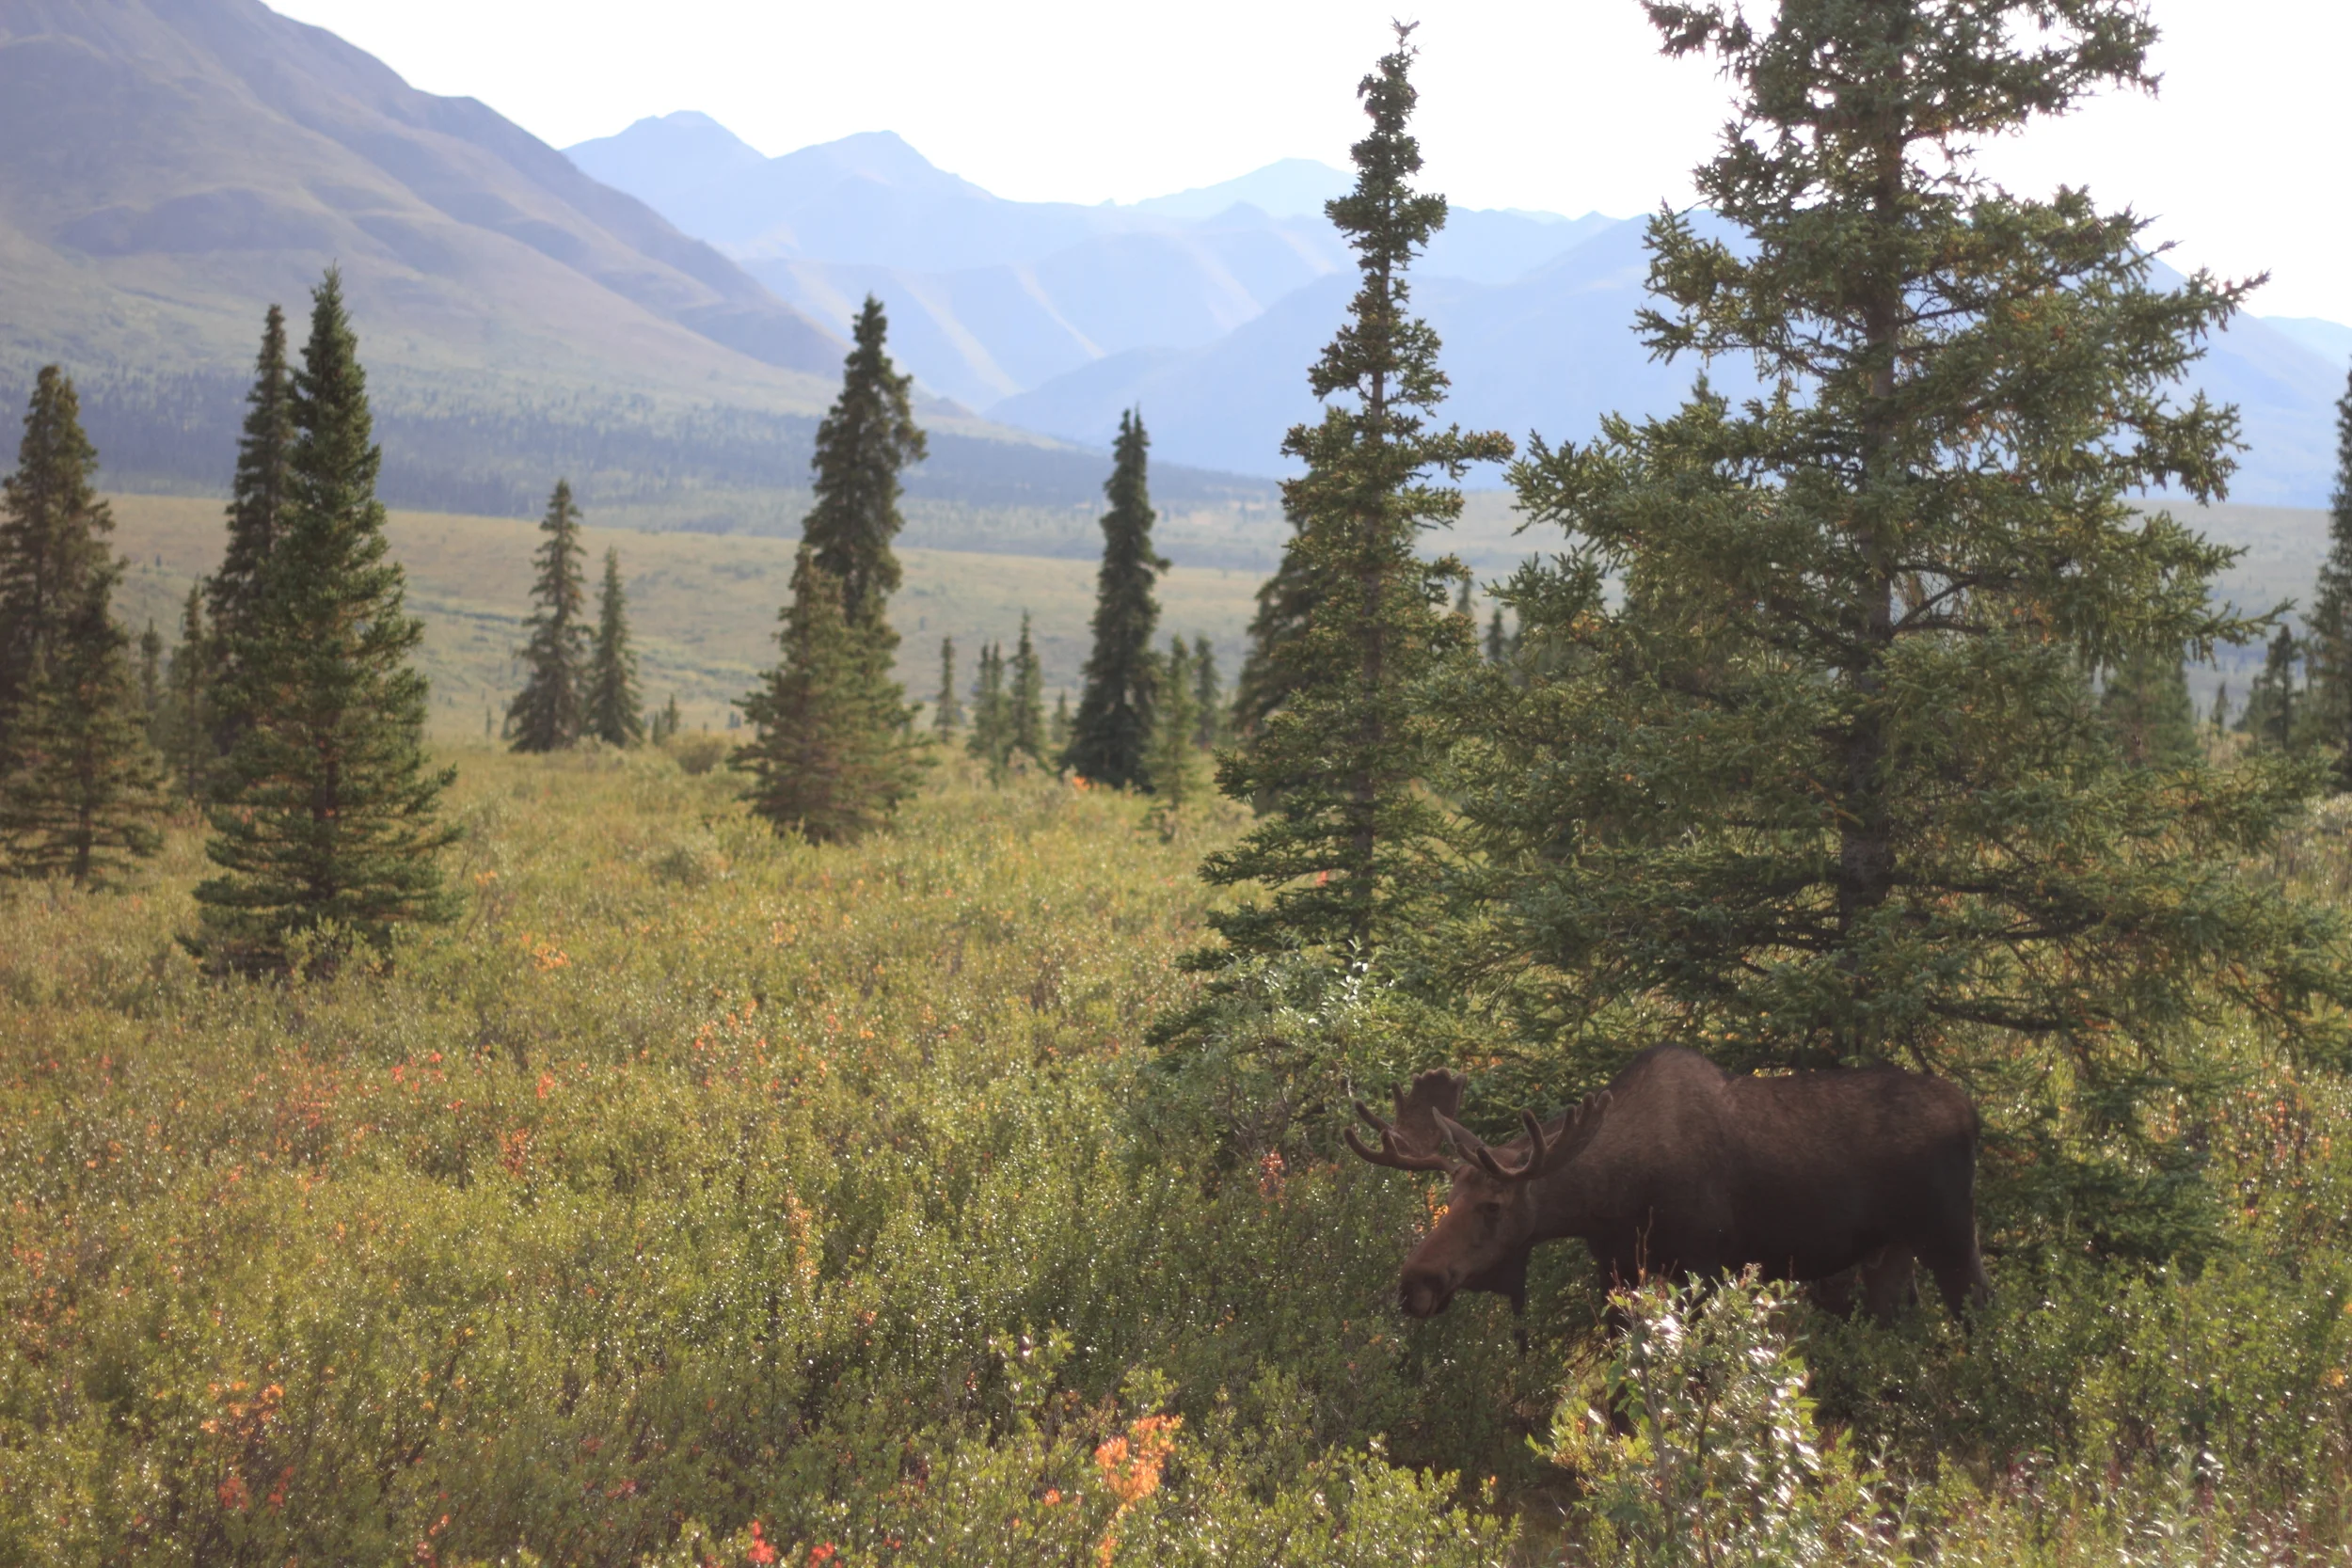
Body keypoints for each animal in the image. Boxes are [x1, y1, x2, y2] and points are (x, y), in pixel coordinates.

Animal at [1346, 1044, 1991, 1327]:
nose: (1414, 1284)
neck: (1615, 1200)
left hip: (1951, 1233)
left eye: (1493, 1206)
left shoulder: (1703, 1265)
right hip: (1891, 1250)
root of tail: (1972, 1112)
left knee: (1980, 1313)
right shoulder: (1613, 1265)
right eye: (1449, 1197)